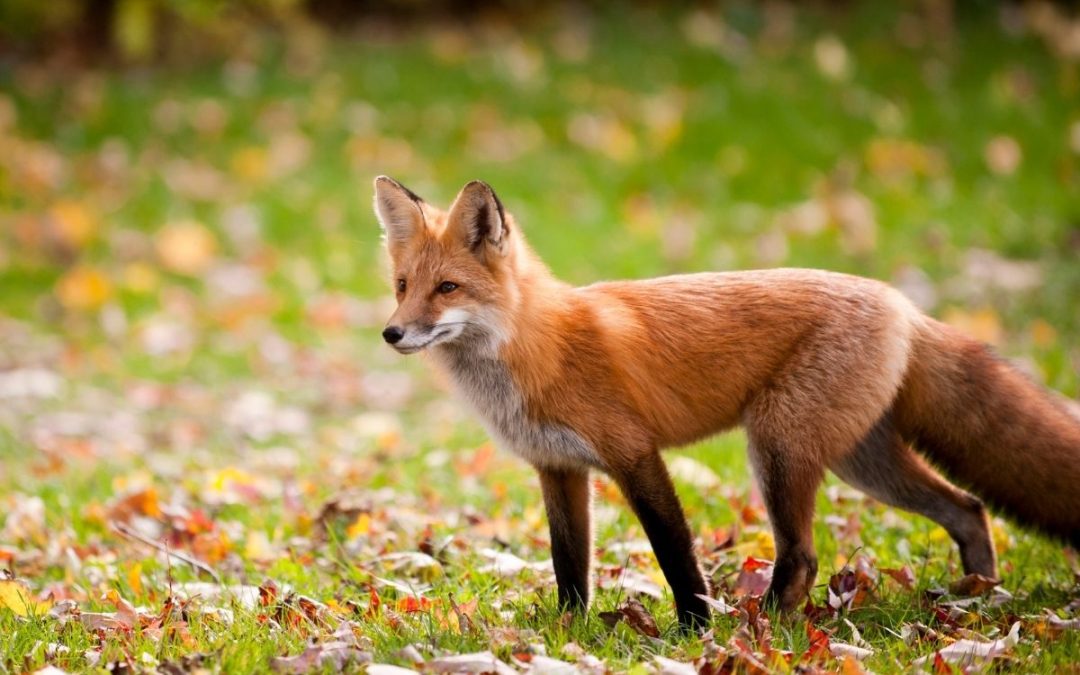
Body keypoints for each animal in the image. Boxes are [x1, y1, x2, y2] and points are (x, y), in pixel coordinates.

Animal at [373, 175, 1080, 629]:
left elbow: (674, 552)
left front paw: (693, 629)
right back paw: (976, 595)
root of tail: (901, 302)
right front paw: (568, 632)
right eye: (403, 286)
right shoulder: (559, 468)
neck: (536, 347)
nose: (392, 333)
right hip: (861, 462)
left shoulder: (634, 454)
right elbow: (568, 563)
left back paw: (759, 629)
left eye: (447, 288)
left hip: (777, 448)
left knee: (804, 556)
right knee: (968, 508)